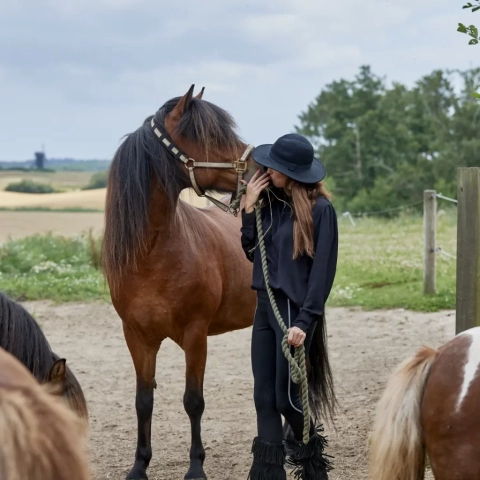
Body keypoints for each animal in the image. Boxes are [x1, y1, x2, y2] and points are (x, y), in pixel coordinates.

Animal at [101, 84, 334, 478]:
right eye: (209, 137)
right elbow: (143, 400)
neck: (154, 255)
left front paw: (196, 467)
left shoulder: (195, 335)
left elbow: (193, 401)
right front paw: (139, 466)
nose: (260, 172)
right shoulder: (136, 337)